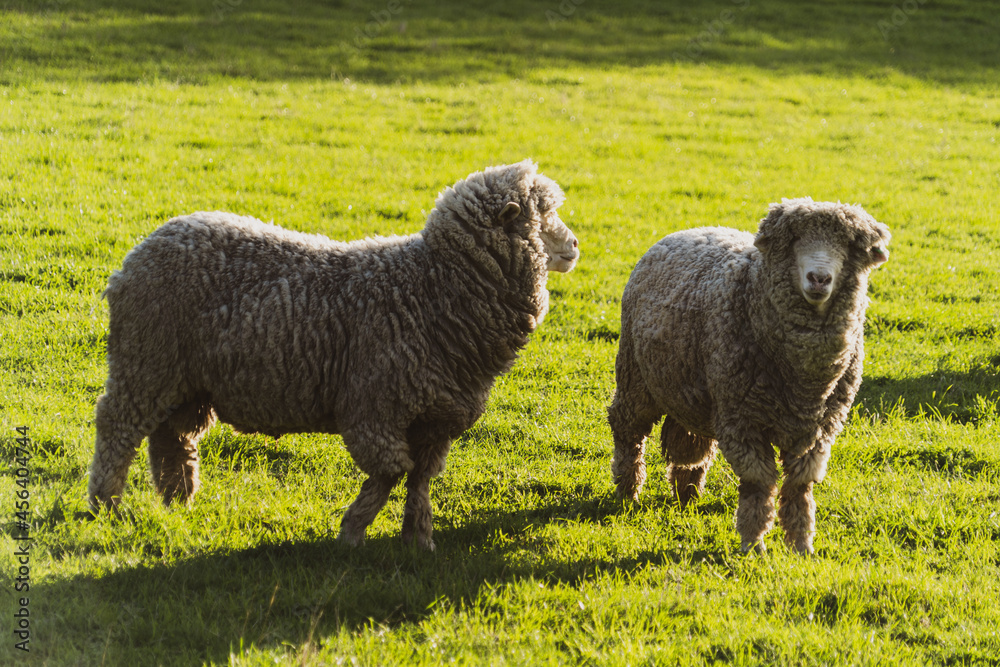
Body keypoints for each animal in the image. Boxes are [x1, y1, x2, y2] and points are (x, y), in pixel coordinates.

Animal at [87, 160, 579, 550]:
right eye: (544, 215)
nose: (574, 245)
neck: (431, 287)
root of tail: (138, 253)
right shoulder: (373, 408)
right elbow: (389, 473)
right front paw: (352, 532)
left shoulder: (436, 422)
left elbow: (419, 481)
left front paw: (418, 539)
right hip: (145, 361)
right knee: (117, 427)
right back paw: (104, 504)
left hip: (183, 379)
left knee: (171, 437)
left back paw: (177, 499)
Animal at [608, 198, 889, 554]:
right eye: (795, 240)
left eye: (849, 247)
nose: (819, 278)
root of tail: (690, 229)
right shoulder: (742, 420)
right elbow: (759, 481)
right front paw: (754, 543)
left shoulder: (819, 429)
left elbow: (800, 484)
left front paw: (801, 543)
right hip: (636, 378)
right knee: (627, 430)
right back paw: (627, 489)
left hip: (692, 391)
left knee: (690, 443)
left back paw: (687, 494)